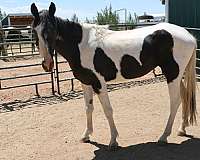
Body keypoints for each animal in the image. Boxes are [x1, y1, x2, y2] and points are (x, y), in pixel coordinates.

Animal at [30, 2, 197, 149]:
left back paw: (163, 136)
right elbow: (88, 108)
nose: (47, 64)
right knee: (185, 97)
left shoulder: (99, 83)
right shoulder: (86, 82)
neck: (81, 44)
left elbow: (107, 110)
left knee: (175, 101)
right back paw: (181, 130)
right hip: (177, 75)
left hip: (172, 74)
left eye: (52, 29)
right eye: (34, 30)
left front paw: (113, 141)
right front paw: (86, 136)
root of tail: (189, 35)